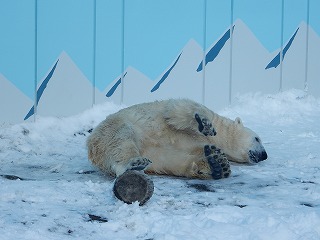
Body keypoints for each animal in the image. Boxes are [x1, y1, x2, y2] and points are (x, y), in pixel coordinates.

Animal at [86, 99, 266, 180]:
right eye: (257, 138)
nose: (264, 155)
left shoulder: (182, 148)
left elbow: (179, 159)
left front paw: (218, 164)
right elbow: (179, 111)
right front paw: (204, 123)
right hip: (113, 127)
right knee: (121, 140)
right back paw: (133, 163)